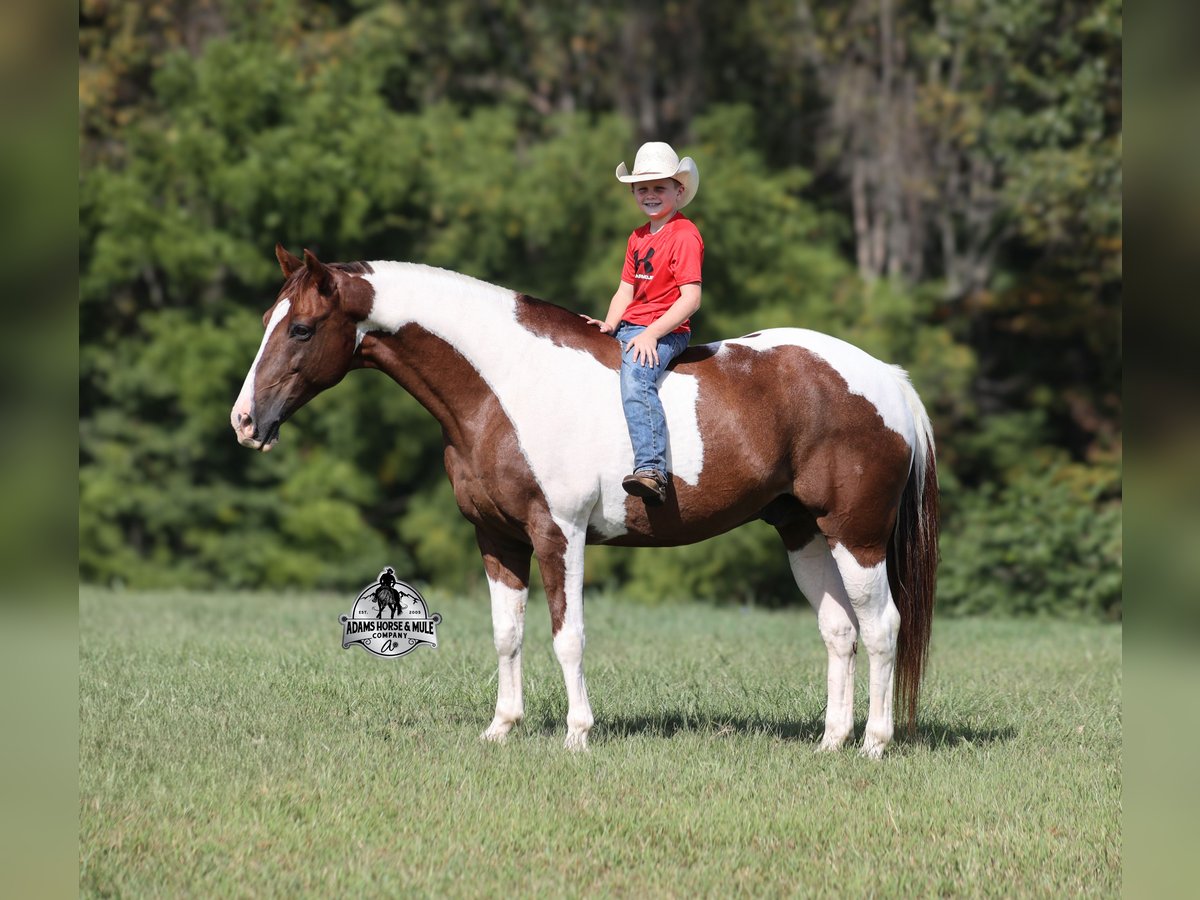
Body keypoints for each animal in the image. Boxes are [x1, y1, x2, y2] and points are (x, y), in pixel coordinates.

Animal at [231, 245, 939, 757]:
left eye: (301, 328)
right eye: (268, 323)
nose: (244, 421)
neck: (507, 384)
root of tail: (889, 381)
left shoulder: (559, 532)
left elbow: (566, 636)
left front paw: (577, 734)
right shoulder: (496, 538)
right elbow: (507, 634)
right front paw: (502, 728)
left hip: (856, 535)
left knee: (882, 627)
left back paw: (874, 745)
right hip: (804, 532)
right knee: (840, 631)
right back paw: (830, 743)